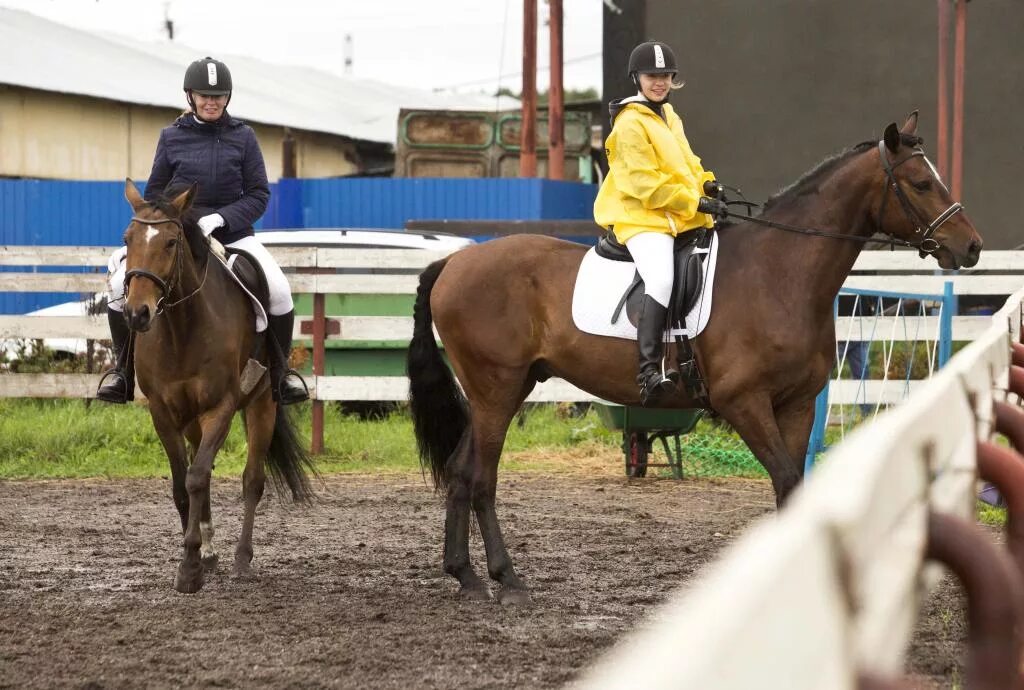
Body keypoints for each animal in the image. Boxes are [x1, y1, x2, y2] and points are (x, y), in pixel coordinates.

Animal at [120, 179, 311, 589]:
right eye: (128, 239)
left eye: (171, 242)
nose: (137, 314)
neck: (182, 329)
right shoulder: (162, 412)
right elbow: (183, 485)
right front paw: (196, 557)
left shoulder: (220, 407)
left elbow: (197, 478)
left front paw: (190, 567)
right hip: (191, 419)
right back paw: (210, 552)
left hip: (261, 403)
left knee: (252, 480)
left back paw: (241, 558)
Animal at [405, 112, 983, 601]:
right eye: (921, 183)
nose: (972, 247)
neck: (780, 273)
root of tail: (454, 261)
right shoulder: (744, 403)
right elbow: (786, 480)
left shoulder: (796, 404)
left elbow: (794, 488)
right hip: (496, 390)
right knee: (482, 478)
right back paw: (507, 580)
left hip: (503, 390)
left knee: (460, 471)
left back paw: (465, 576)